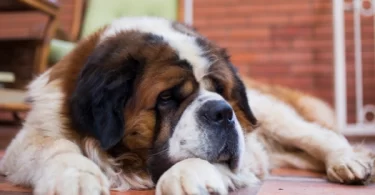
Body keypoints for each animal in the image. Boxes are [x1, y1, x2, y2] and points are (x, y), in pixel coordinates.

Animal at [0, 17, 375, 195]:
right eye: (167, 97)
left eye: (220, 89)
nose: (223, 112)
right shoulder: (29, 140)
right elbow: (56, 148)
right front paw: (75, 176)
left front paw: (187, 177)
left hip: (275, 118)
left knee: (321, 136)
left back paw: (349, 162)